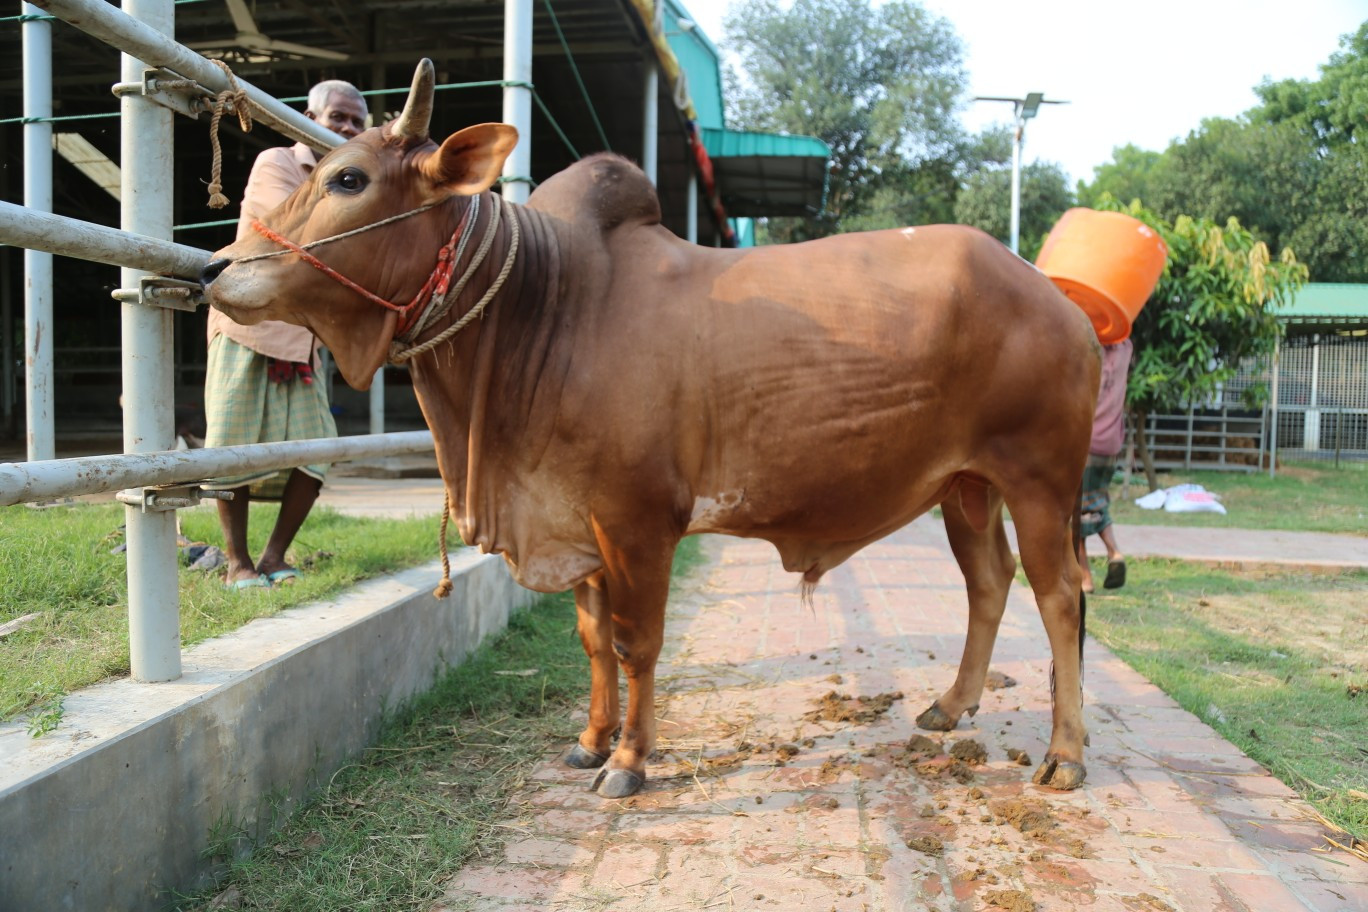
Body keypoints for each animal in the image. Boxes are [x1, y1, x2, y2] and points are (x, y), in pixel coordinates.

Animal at [201, 59, 1102, 799]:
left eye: (348, 177)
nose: (216, 268)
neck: (544, 308)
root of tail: (1058, 298)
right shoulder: (577, 521)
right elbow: (593, 638)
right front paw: (591, 741)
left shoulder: (637, 522)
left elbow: (636, 643)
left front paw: (631, 761)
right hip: (966, 486)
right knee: (989, 584)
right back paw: (950, 706)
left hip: (1039, 481)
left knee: (1060, 595)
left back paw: (1065, 755)